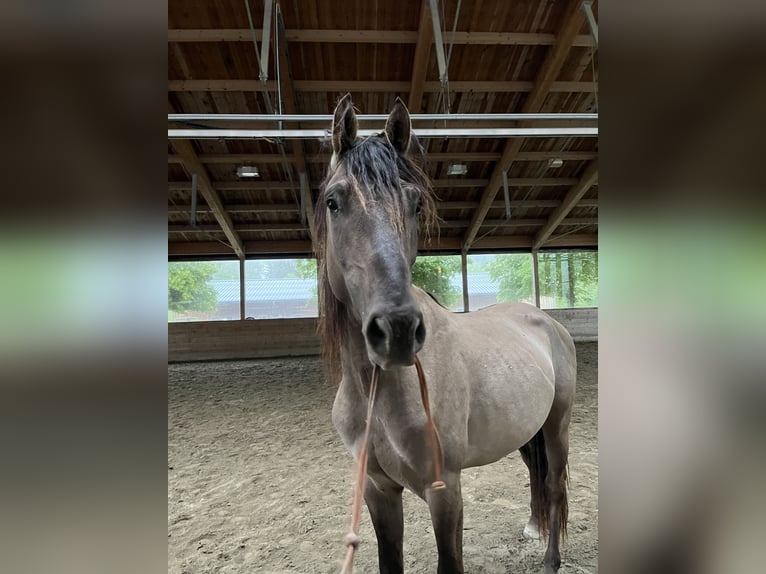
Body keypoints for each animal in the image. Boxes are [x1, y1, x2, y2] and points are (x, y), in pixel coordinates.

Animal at [314, 92, 576, 572]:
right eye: (333, 201)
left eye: (416, 204)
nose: (397, 329)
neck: (378, 392)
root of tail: (547, 322)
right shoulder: (378, 490)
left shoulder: (445, 491)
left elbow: (449, 561)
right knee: (536, 472)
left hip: (556, 425)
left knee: (554, 484)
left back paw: (550, 559)